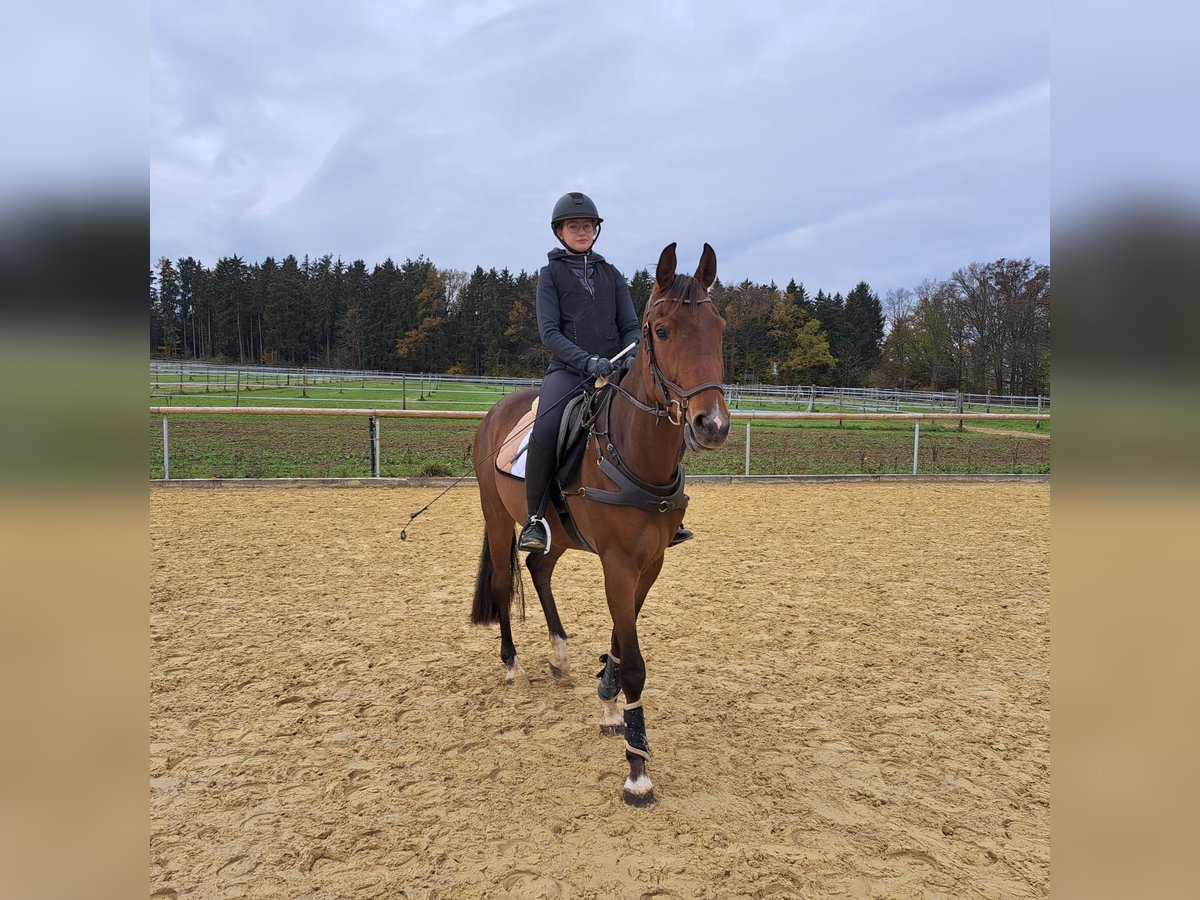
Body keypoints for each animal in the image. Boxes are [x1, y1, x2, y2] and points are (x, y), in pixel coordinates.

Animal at [468, 243, 729, 806]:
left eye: (719, 328)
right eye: (662, 331)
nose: (712, 425)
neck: (635, 451)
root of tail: (496, 411)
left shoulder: (648, 564)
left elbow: (619, 638)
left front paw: (609, 703)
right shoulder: (617, 563)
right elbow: (633, 661)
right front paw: (637, 769)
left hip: (561, 532)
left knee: (539, 568)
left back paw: (559, 654)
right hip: (497, 518)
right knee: (503, 581)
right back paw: (513, 666)